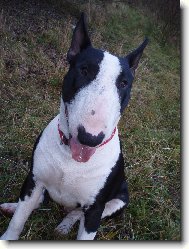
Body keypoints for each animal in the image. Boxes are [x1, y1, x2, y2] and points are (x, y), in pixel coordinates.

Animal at [0, 13, 148, 239]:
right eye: (84, 70)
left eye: (123, 83)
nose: (90, 138)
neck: (71, 156)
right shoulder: (34, 180)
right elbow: (18, 220)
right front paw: (8, 236)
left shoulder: (95, 209)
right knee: (37, 202)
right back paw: (11, 206)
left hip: (118, 202)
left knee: (77, 213)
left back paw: (64, 226)